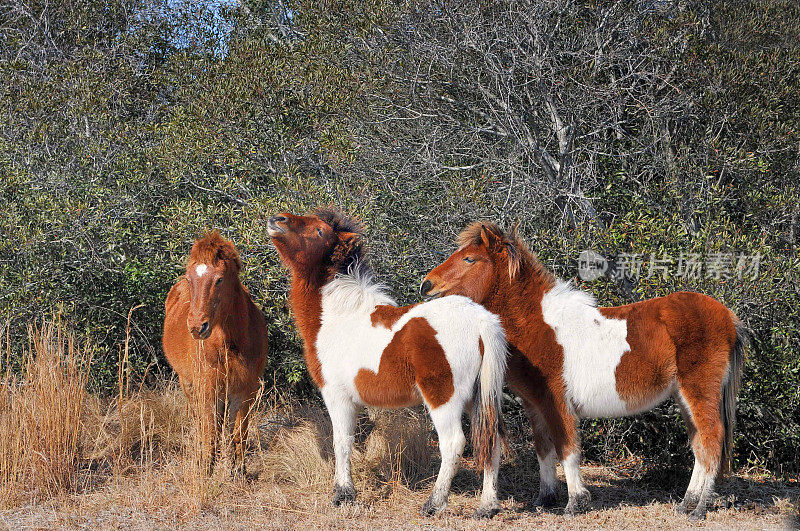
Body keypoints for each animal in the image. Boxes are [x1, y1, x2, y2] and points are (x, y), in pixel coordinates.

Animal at [162, 233, 268, 474]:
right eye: (190, 279)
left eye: (219, 279)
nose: (196, 327)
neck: (231, 344)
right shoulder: (208, 388)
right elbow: (210, 431)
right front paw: (206, 469)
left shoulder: (246, 390)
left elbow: (238, 434)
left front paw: (238, 471)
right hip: (188, 384)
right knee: (199, 420)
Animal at [268, 210, 506, 516]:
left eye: (320, 231)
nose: (278, 220)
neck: (340, 315)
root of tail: (481, 320)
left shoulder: (337, 396)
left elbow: (341, 442)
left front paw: (343, 494)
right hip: (480, 398)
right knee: (491, 441)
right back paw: (488, 506)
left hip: (444, 399)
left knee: (454, 443)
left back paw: (434, 503)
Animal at [424, 222, 752, 520]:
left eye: (469, 259)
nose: (426, 286)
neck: (540, 324)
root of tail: (727, 317)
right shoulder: (535, 404)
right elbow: (544, 449)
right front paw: (545, 500)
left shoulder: (557, 402)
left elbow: (567, 447)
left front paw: (575, 503)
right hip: (684, 397)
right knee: (699, 443)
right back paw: (687, 503)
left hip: (699, 391)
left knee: (712, 439)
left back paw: (699, 509)